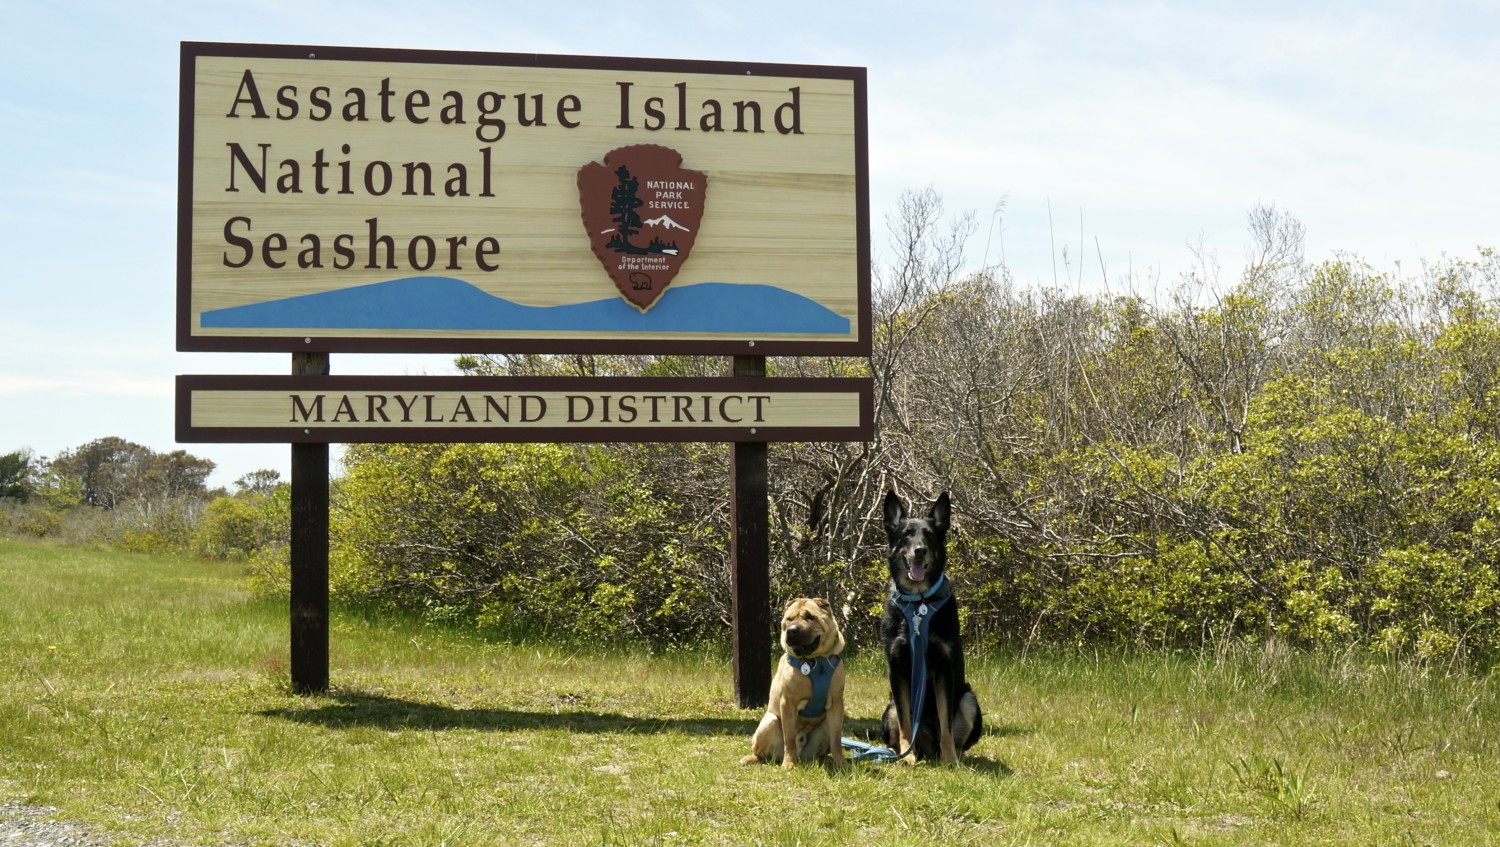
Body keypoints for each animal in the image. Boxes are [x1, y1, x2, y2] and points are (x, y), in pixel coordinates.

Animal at [741, 593, 852, 767]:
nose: (792, 631)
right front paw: (788, 763)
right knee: (761, 753)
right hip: (769, 722)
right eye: (789, 619)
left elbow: (836, 740)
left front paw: (842, 764)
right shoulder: (788, 703)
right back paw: (753, 758)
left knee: (823, 750)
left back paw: (825, 759)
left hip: (825, 725)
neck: (815, 661)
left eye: (810, 617)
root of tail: (802, 756)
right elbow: (789, 739)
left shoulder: (836, 704)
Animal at [876, 485, 984, 761]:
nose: (919, 550)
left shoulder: (944, 670)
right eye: (906, 535)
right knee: (898, 730)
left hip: (969, 699)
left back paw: (955, 756)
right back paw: (900, 753)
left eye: (930, 535)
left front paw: (950, 761)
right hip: (889, 707)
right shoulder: (898, 671)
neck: (919, 603)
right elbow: (906, 723)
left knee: (957, 738)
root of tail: (928, 746)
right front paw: (908, 757)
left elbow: (946, 725)